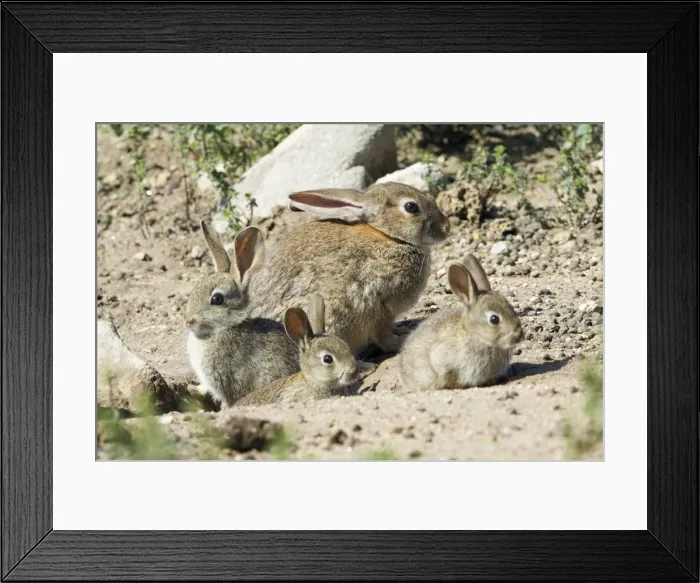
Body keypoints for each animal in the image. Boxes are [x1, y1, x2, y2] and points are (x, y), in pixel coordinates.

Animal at [250, 182, 451, 356]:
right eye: (411, 207)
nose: (446, 227)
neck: (390, 237)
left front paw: (402, 330)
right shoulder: (378, 307)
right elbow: (384, 337)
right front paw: (402, 340)